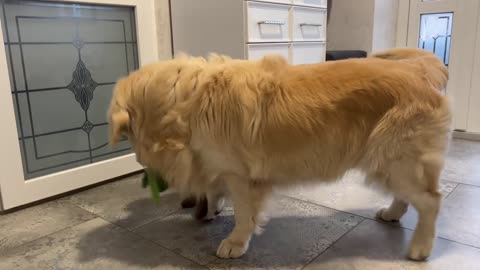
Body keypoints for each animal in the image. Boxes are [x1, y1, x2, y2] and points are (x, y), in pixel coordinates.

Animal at [109, 48, 450, 260]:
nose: (141, 166)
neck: (184, 100)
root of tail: (416, 69)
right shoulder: (219, 164)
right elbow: (216, 187)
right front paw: (213, 205)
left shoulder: (240, 174)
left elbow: (244, 213)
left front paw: (235, 242)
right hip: (391, 164)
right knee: (408, 197)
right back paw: (392, 213)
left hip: (394, 160)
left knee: (432, 200)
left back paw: (421, 247)